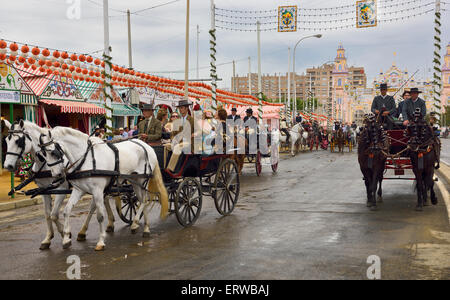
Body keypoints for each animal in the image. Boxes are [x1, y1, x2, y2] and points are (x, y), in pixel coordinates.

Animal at [2, 120, 68, 250]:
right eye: (6, 140)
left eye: (18, 141)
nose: (7, 166)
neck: (45, 162)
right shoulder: (44, 190)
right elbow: (47, 214)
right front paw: (48, 238)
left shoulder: (62, 188)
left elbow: (54, 214)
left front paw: (64, 234)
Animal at [38, 126, 169, 251]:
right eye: (43, 154)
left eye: (53, 152)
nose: (57, 175)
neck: (86, 158)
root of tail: (147, 146)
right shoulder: (79, 190)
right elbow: (66, 211)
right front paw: (66, 239)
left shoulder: (97, 191)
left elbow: (100, 216)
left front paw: (100, 242)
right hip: (134, 181)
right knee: (142, 201)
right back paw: (145, 228)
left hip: (143, 180)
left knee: (145, 200)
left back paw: (136, 224)